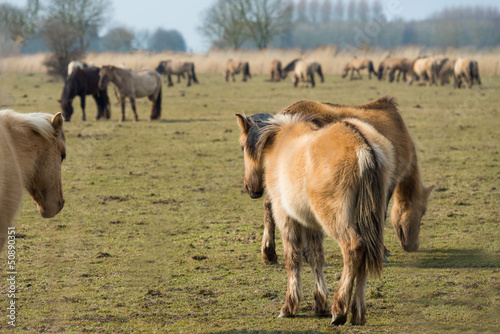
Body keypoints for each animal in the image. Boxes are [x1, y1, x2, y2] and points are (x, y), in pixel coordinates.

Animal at [236, 111, 396, 324]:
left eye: (242, 146)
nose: (250, 188)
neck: (279, 144)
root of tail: (362, 144)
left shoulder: (285, 217)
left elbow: (292, 258)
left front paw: (289, 306)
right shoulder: (311, 224)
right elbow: (316, 258)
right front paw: (320, 304)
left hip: (334, 218)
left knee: (354, 248)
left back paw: (339, 309)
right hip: (364, 218)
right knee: (366, 255)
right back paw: (357, 313)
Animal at [238, 97, 434, 266]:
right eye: (422, 212)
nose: (412, 246)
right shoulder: (384, 185)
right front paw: (382, 251)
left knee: (271, 204)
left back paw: (270, 253)